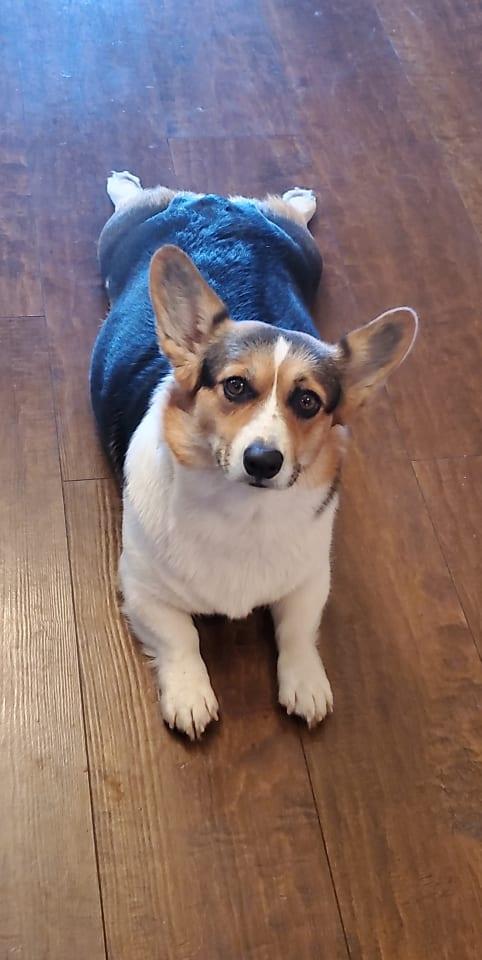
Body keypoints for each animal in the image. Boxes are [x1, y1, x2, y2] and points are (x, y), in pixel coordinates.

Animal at [90, 170, 418, 740]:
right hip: (115, 241)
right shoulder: (140, 586)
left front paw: (306, 684)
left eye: (308, 402)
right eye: (236, 387)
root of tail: (214, 202)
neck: (241, 513)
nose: (264, 461)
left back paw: (299, 198)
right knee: (135, 198)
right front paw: (190, 694)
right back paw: (124, 181)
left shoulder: (311, 579)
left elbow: (299, 631)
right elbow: (182, 638)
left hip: (308, 253)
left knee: (290, 212)